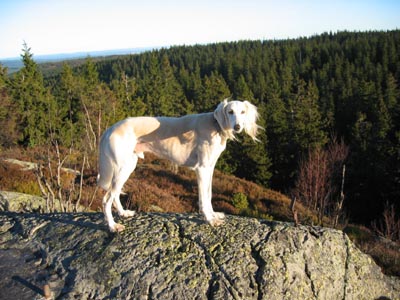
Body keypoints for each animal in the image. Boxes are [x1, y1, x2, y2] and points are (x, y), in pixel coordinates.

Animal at [97, 99, 262, 232]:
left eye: (242, 112)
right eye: (230, 111)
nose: (238, 127)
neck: (215, 125)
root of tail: (110, 129)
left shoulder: (209, 168)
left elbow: (209, 194)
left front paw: (214, 214)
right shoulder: (202, 169)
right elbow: (203, 198)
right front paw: (210, 219)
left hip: (129, 165)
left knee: (115, 194)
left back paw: (123, 213)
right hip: (122, 168)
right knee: (106, 199)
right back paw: (112, 226)